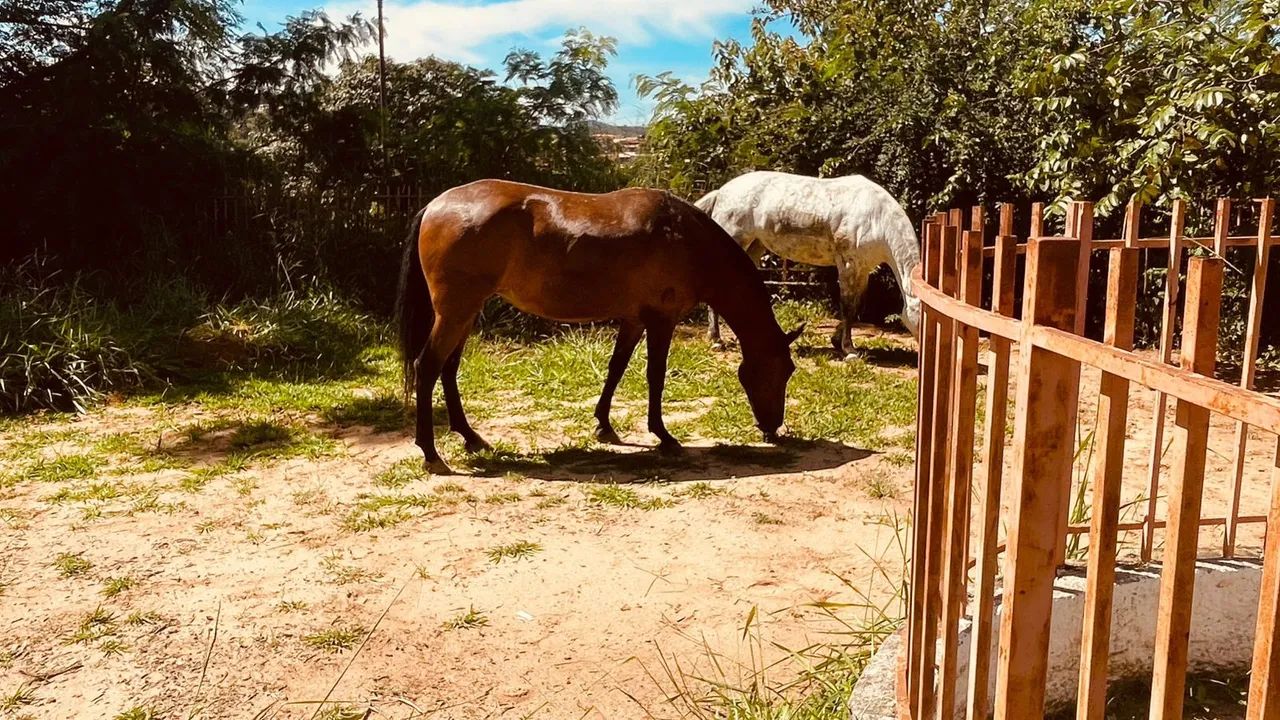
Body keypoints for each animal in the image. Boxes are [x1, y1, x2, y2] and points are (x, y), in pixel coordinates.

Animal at [397, 179, 804, 474]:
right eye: (781, 371)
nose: (773, 428)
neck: (685, 238)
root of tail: (435, 205)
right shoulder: (661, 319)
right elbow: (655, 375)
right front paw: (664, 436)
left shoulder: (634, 319)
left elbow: (616, 368)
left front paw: (604, 426)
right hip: (455, 312)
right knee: (428, 367)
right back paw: (431, 454)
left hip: (464, 313)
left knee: (448, 370)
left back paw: (470, 438)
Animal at [696, 171, 921, 355]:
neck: (877, 217)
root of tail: (721, 192)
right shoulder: (848, 265)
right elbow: (848, 306)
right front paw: (849, 350)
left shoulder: (863, 269)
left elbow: (857, 305)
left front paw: (836, 341)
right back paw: (716, 340)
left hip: (754, 247)